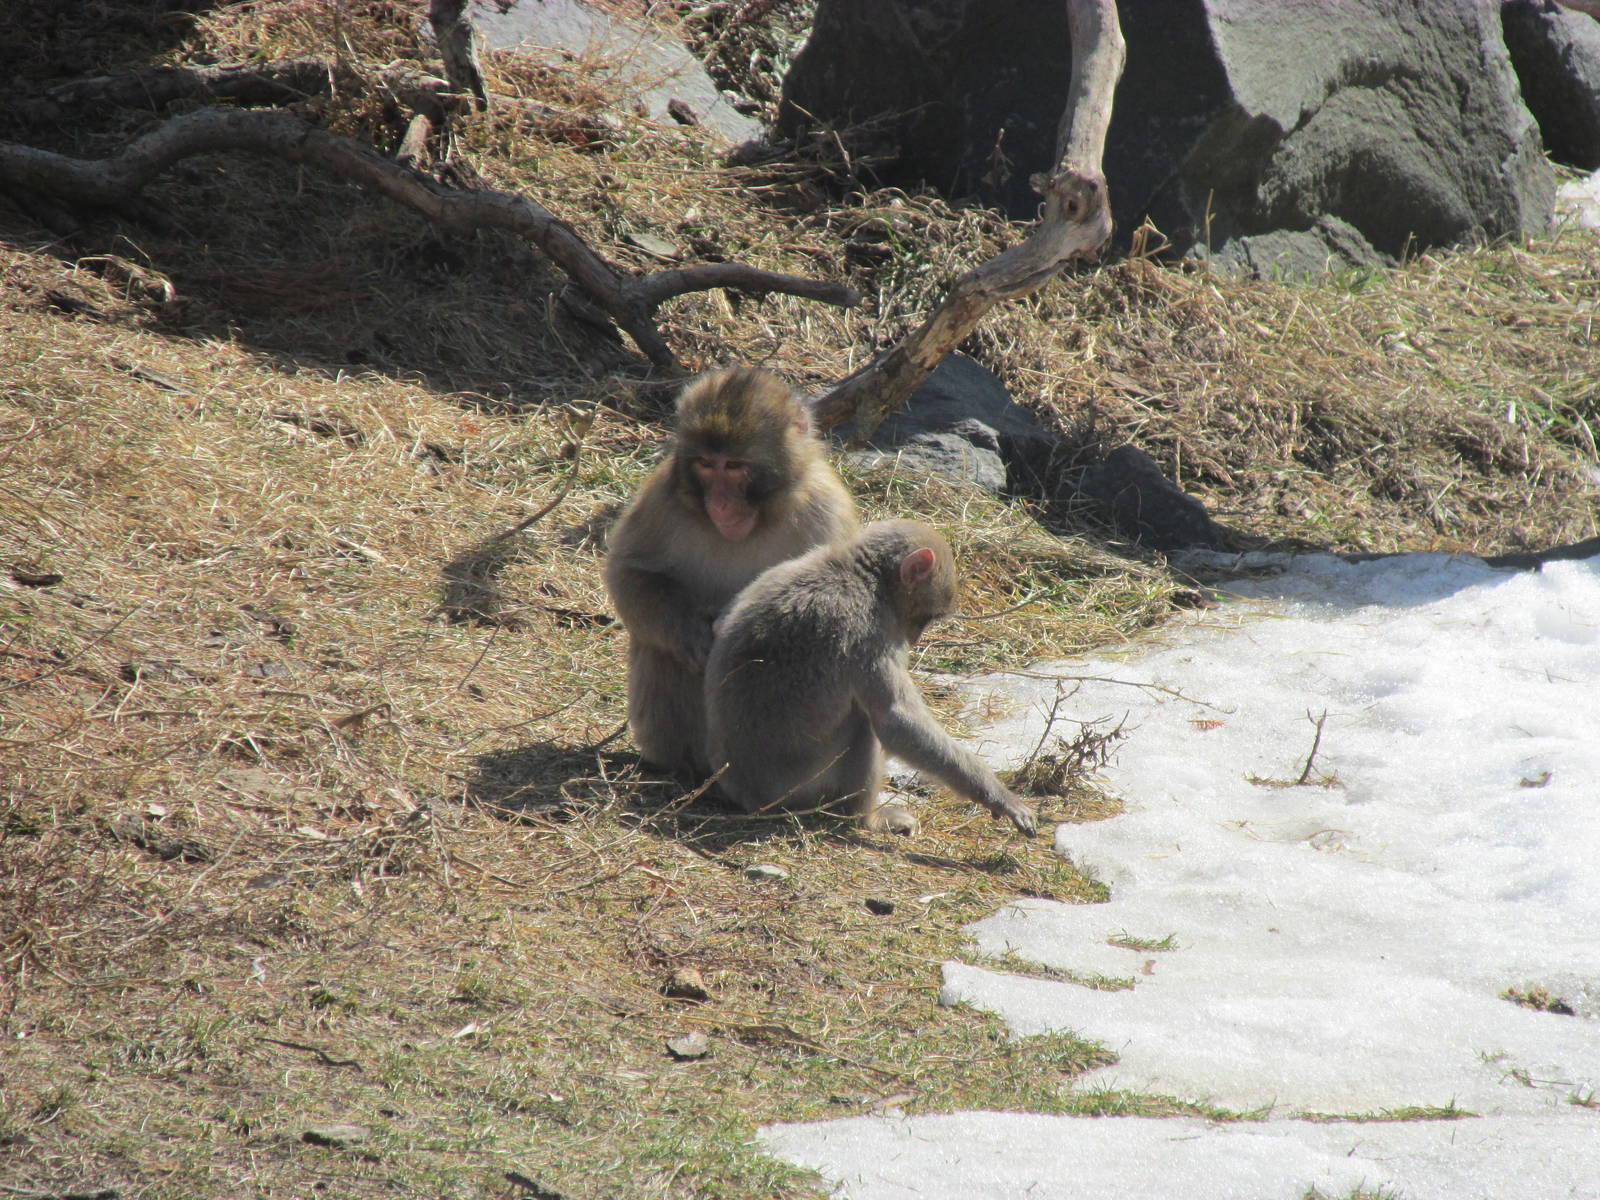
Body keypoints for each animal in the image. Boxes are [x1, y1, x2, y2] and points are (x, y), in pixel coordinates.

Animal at [604, 367, 859, 776]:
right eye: (706, 464)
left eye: (735, 466)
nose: (721, 503)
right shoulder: (662, 495)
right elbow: (631, 571)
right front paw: (693, 636)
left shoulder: (826, 511)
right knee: (658, 646)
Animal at [704, 519, 1038, 838]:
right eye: (926, 617)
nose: (914, 639)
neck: (860, 574)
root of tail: (751, 798)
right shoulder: (868, 632)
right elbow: (896, 721)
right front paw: (998, 796)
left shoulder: (778, 570)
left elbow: (721, 622)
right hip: (798, 788)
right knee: (863, 728)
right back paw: (868, 820)